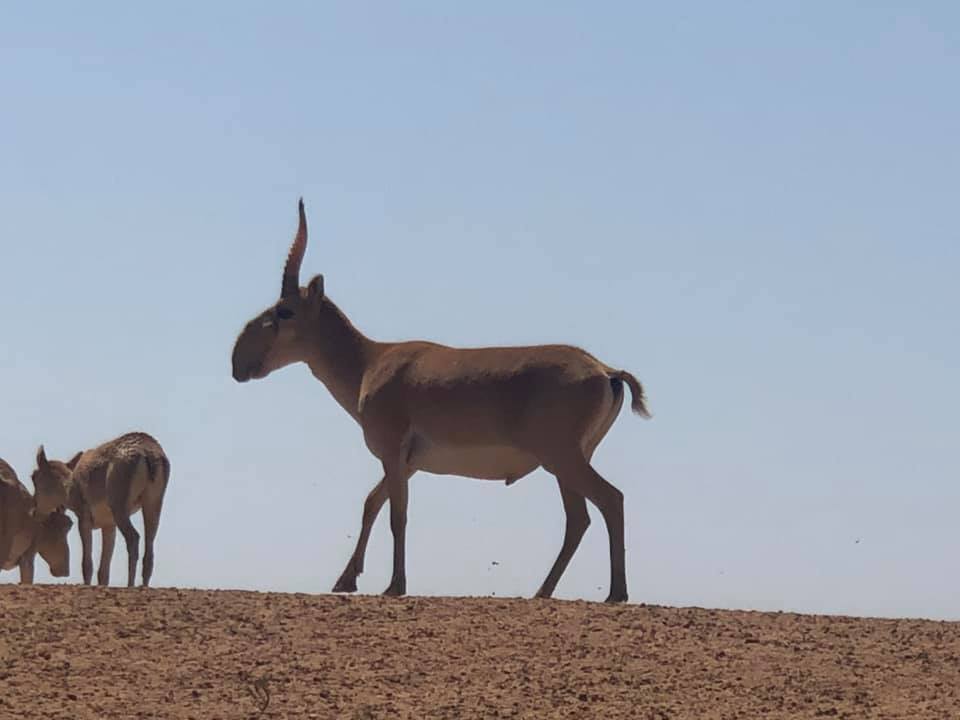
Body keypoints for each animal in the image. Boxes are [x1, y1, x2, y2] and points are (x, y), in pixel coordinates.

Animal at [31, 430, 171, 588]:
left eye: (33, 477)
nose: (34, 512)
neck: (72, 486)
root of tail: (149, 453)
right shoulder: (109, 526)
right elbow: (104, 571)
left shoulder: (84, 520)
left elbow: (87, 564)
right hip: (153, 505)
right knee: (149, 546)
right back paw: (144, 585)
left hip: (120, 509)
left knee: (134, 538)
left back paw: (130, 584)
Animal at [232, 200, 652, 604]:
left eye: (284, 311)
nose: (238, 363)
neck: (370, 363)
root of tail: (605, 370)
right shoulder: (407, 463)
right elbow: (371, 503)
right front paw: (346, 581)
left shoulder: (392, 454)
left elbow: (397, 514)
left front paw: (394, 586)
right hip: (567, 462)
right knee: (579, 518)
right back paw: (544, 591)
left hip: (561, 458)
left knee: (609, 500)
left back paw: (614, 592)